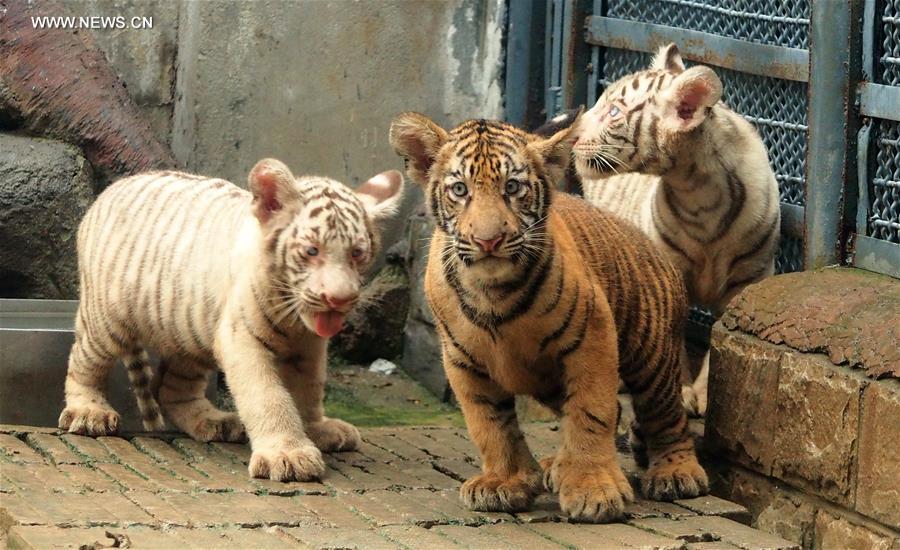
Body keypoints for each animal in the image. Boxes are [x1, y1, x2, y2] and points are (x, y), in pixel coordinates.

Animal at [59, 159, 404, 482]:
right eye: (311, 250)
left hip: (190, 333)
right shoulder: (242, 339)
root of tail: (109, 191)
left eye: (357, 253)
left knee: (172, 390)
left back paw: (216, 422)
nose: (339, 299)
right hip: (105, 320)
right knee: (83, 362)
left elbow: (309, 388)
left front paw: (317, 429)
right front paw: (288, 456)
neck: (293, 318)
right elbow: (267, 395)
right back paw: (88, 412)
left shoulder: (309, 347)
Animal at [389, 113, 708, 523]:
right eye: (460, 189)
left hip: (651, 358)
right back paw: (555, 466)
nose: (488, 241)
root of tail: (651, 245)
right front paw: (505, 482)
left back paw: (675, 473)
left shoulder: (592, 339)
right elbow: (490, 424)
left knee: (667, 415)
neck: (493, 293)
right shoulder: (463, 360)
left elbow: (590, 413)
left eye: (512, 187)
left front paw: (593, 490)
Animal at [571, 44, 781, 416]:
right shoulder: (667, 270)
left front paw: (707, 394)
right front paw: (680, 392)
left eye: (614, 111)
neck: (699, 194)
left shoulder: (748, 278)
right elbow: (670, 333)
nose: (571, 135)